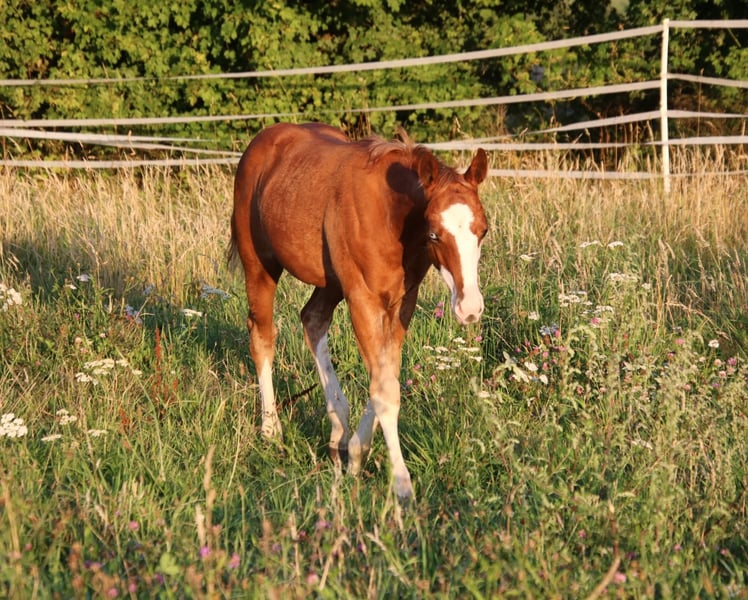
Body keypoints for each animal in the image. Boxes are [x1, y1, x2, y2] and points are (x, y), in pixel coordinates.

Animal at [229, 122, 488, 499]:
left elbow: (385, 374)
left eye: (483, 230)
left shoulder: (401, 302)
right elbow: (385, 391)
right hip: (260, 267)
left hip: (331, 281)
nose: (469, 308)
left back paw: (338, 428)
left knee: (313, 319)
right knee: (262, 336)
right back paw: (271, 431)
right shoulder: (362, 300)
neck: (391, 216)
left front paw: (355, 454)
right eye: (434, 234)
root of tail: (263, 141)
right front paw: (402, 485)